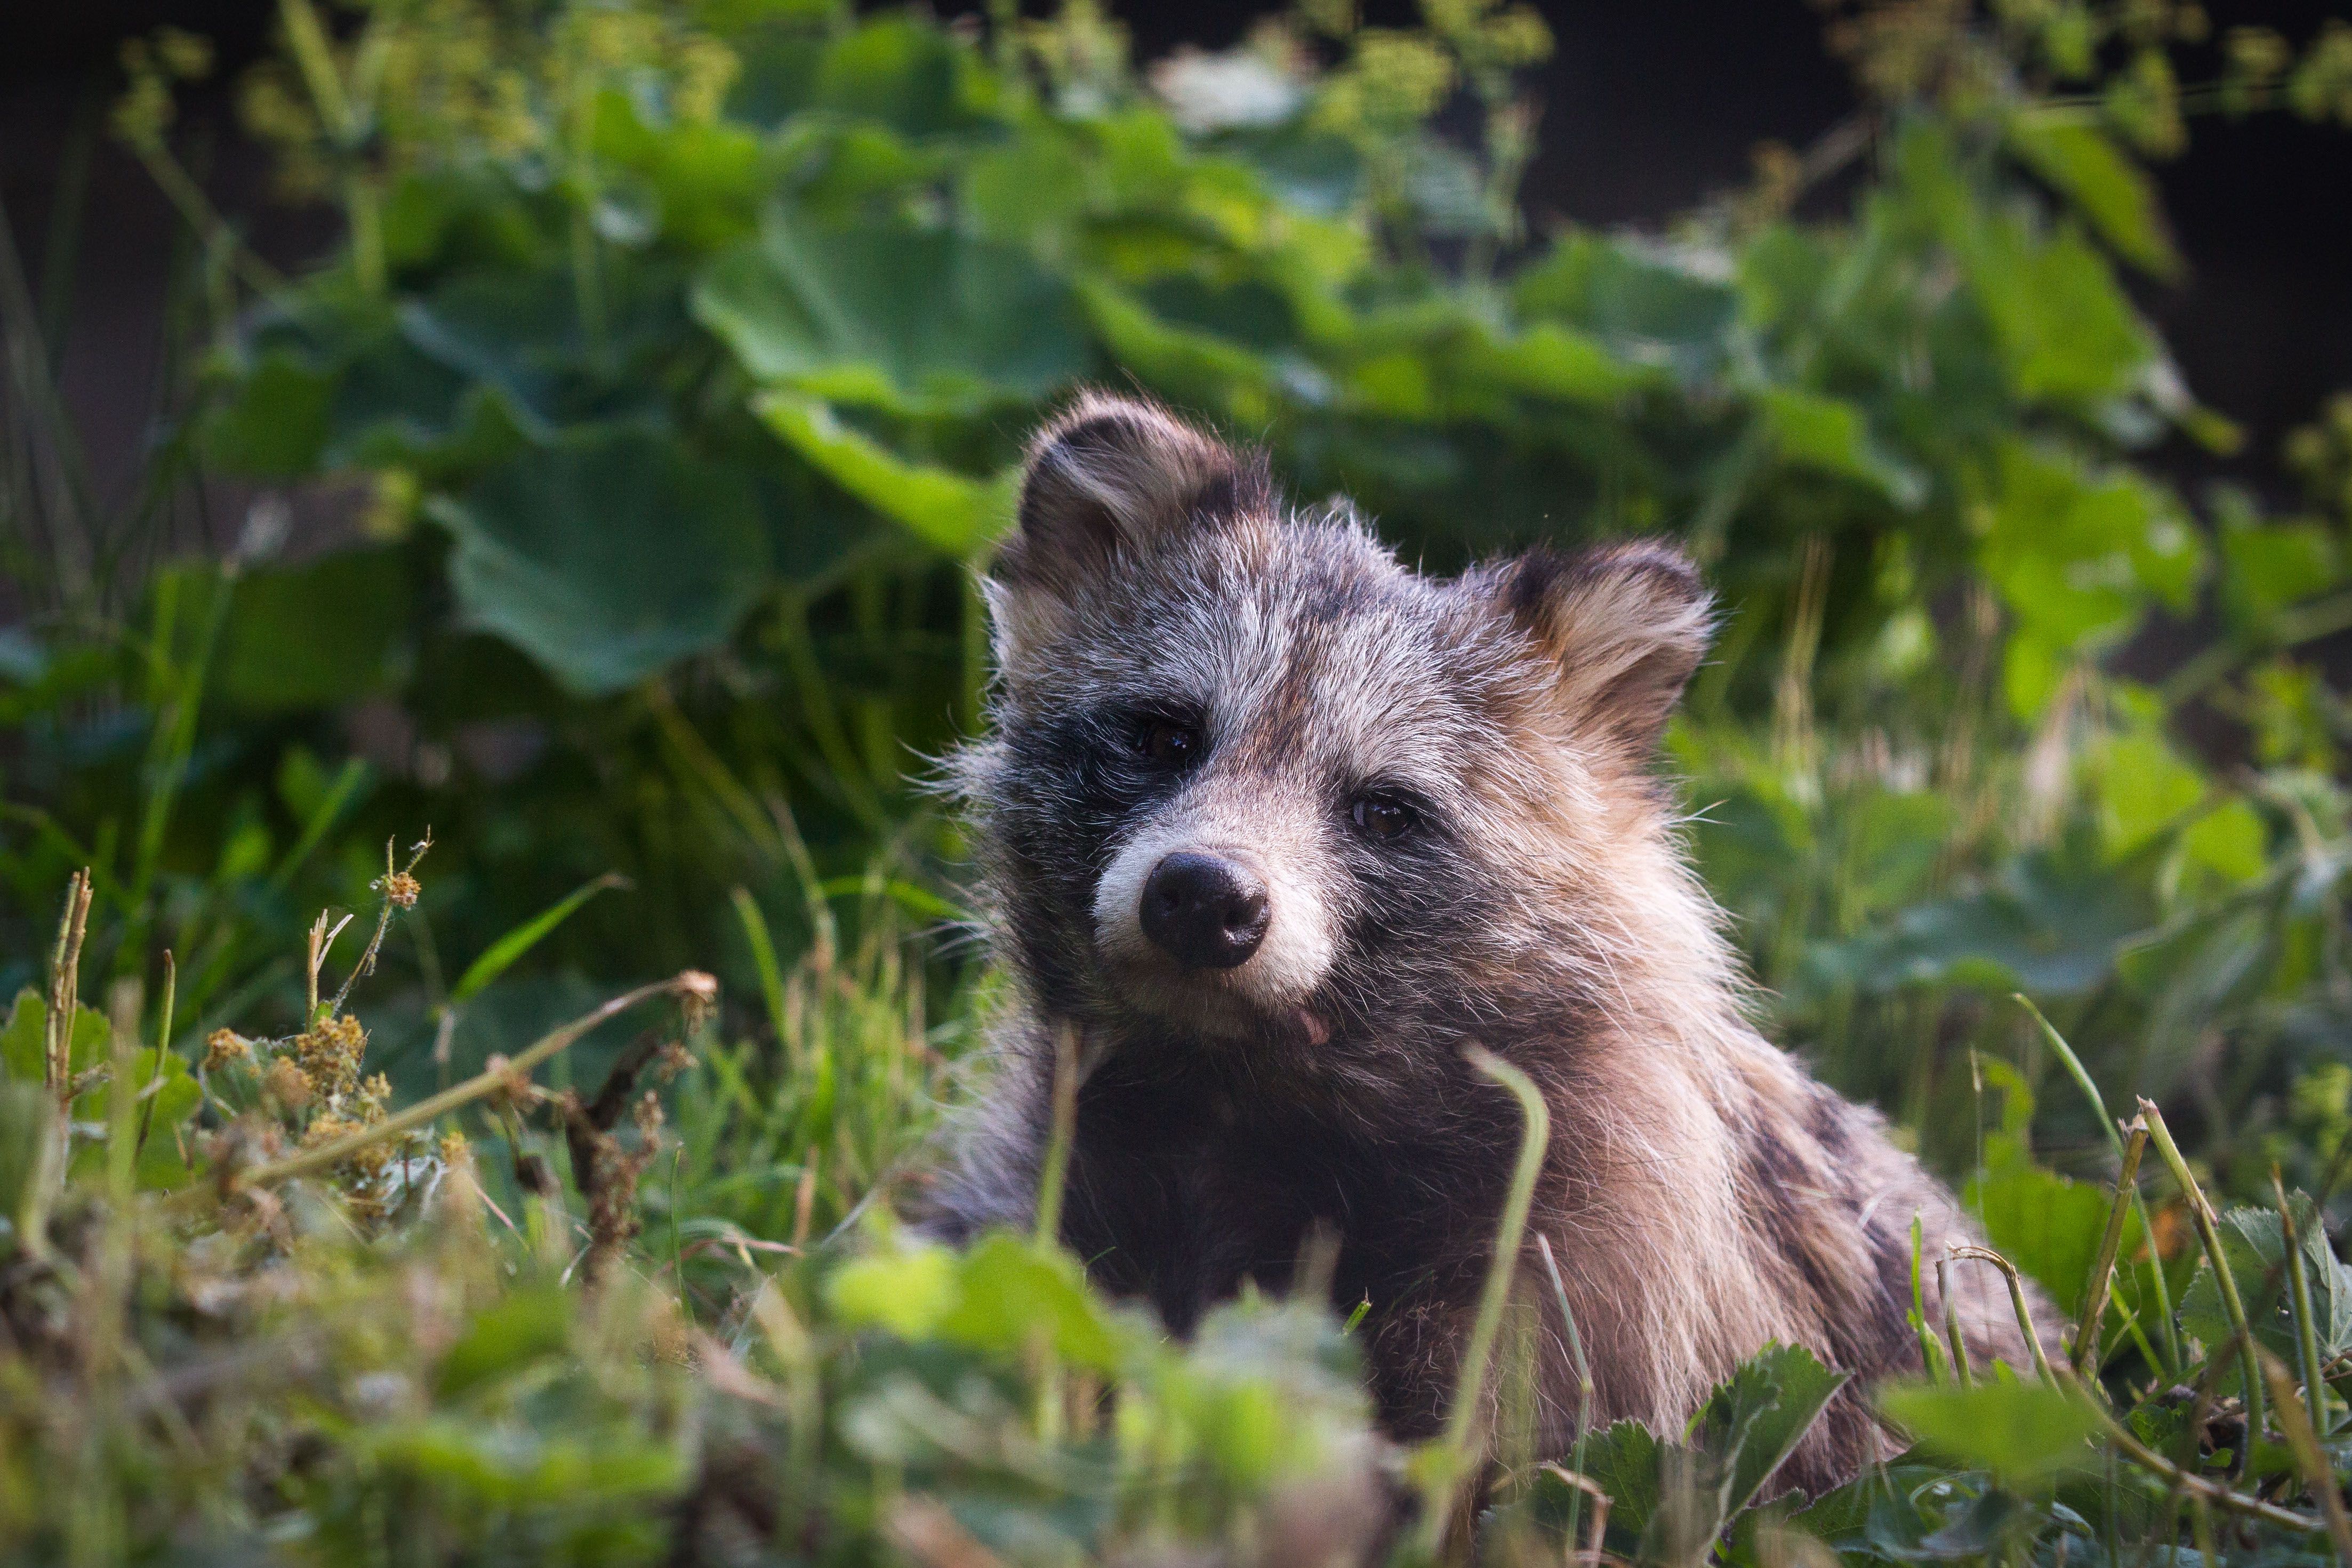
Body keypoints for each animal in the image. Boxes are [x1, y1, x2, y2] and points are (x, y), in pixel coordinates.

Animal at [925, 392, 2052, 1496]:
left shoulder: (1595, 1255)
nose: (1205, 899)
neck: (1241, 1086)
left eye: (1383, 809)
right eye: (1165, 735)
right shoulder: (1067, 1189)